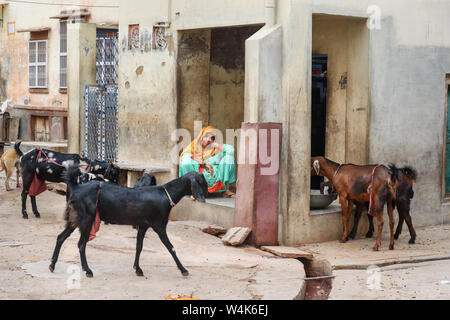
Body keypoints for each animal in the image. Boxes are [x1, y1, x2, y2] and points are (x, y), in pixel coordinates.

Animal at [50, 166, 208, 278]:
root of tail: (75, 186)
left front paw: (137, 269)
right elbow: (171, 247)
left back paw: (52, 265)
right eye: (200, 182)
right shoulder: (159, 225)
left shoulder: (143, 225)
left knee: (61, 237)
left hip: (75, 218)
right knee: (81, 243)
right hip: (87, 218)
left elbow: (139, 246)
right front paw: (184, 270)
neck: (166, 194)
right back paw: (88, 270)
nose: (205, 197)